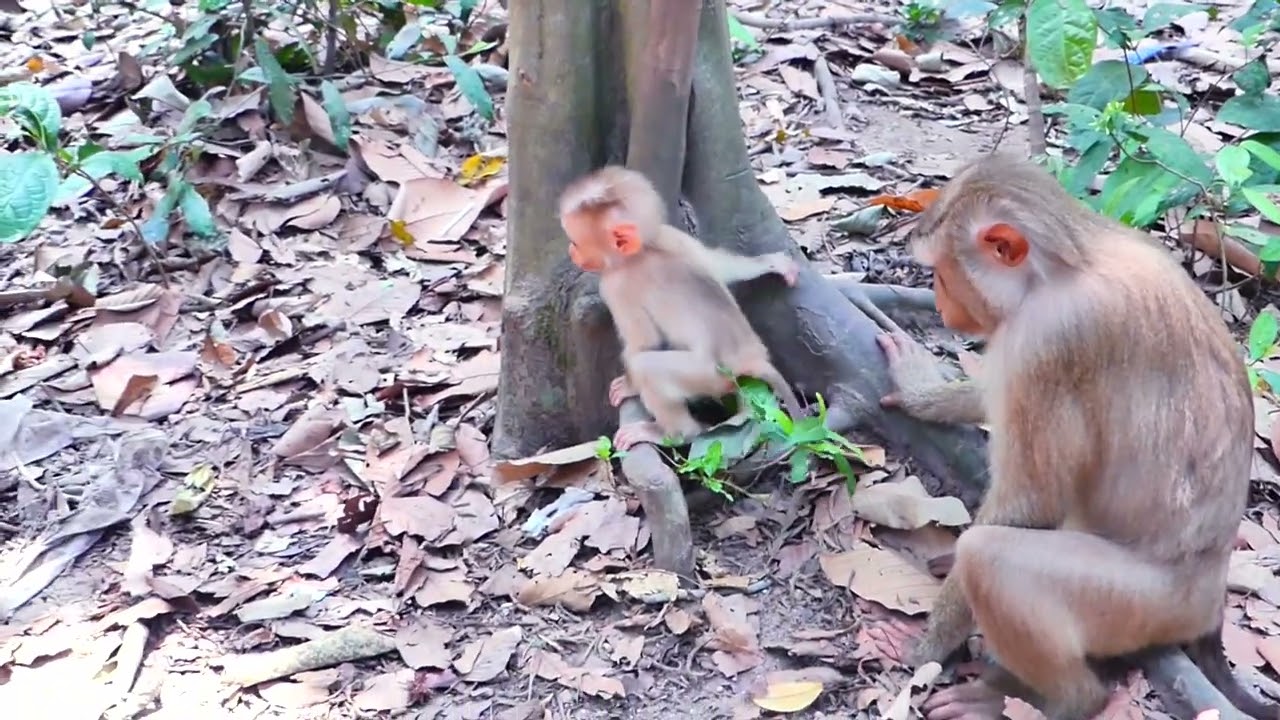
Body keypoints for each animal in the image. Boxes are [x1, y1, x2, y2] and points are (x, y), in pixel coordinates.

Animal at [558, 165, 803, 451]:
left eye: (577, 243)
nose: (571, 252)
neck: (644, 249)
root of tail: (750, 358)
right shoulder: (675, 236)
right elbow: (715, 264)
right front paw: (772, 263)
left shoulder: (615, 287)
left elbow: (645, 343)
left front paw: (629, 385)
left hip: (707, 375)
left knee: (648, 367)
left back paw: (674, 433)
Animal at [873, 155, 1277, 720]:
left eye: (941, 274)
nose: (939, 303)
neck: (1069, 265)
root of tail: (1210, 603)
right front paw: (922, 390)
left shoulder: (1048, 340)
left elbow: (1030, 504)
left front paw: (930, 647)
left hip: (1138, 604)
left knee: (991, 559)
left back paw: (1053, 698)